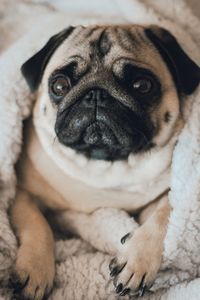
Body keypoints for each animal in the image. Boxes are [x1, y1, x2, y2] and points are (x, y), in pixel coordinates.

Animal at [10, 24, 200, 300]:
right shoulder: (22, 193)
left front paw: (137, 260)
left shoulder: (170, 192)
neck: (105, 165)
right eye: (59, 85)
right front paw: (35, 270)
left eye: (142, 85)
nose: (96, 94)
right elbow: (37, 224)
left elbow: (165, 214)